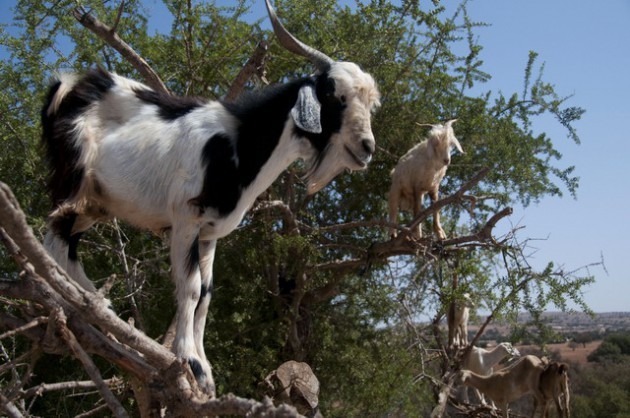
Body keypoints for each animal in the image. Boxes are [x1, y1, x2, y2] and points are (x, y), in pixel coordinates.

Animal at [43, 0, 386, 396]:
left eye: (370, 103)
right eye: (333, 95)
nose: (366, 148)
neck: (239, 144)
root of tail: (68, 85)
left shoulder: (209, 233)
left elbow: (206, 294)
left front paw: (205, 369)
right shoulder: (186, 219)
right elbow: (189, 288)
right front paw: (190, 362)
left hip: (97, 202)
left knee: (64, 240)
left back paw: (98, 307)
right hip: (73, 181)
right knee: (53, 236)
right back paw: (83, 303)